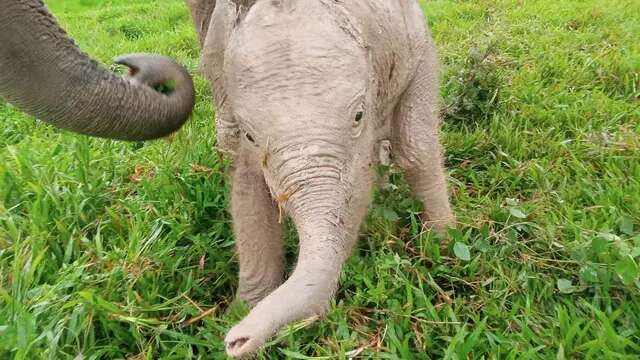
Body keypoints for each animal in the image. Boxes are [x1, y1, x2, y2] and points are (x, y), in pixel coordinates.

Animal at [185, 0, 456, 356]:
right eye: (250, 135)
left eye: (358, 116)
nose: (235, 342)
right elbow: (248, 192)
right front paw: (242, 308)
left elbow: (386, 167)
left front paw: (443, 243)